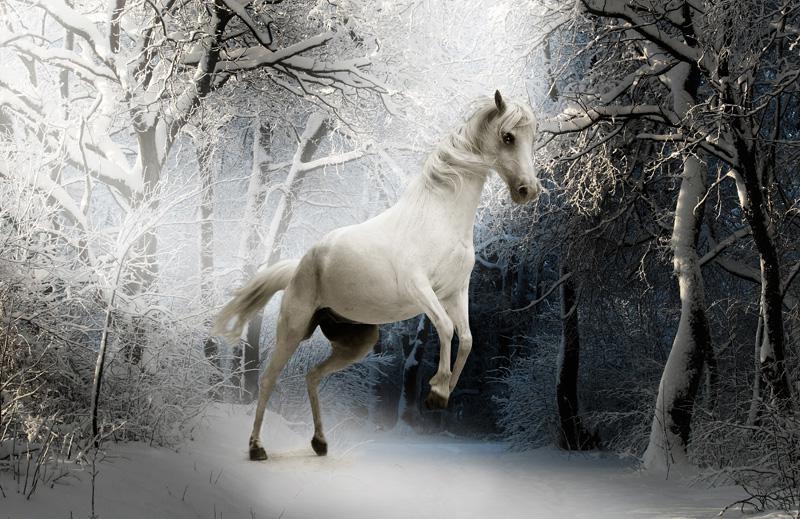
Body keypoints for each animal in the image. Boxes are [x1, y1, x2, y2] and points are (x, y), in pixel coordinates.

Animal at [214, 90, 541, 461]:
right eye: (508, 137)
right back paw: (257, 448)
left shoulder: (455, 292)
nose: (528, 190)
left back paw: (320, 443)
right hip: (293, 329)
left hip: (357, 343)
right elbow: (445, 328)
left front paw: (442, 393)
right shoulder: (420, 288)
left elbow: (468, 338)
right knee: (268, 379)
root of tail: (300, 265)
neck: (439, 218)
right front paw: (436, 390)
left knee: (312, 376)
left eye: (533, 137)